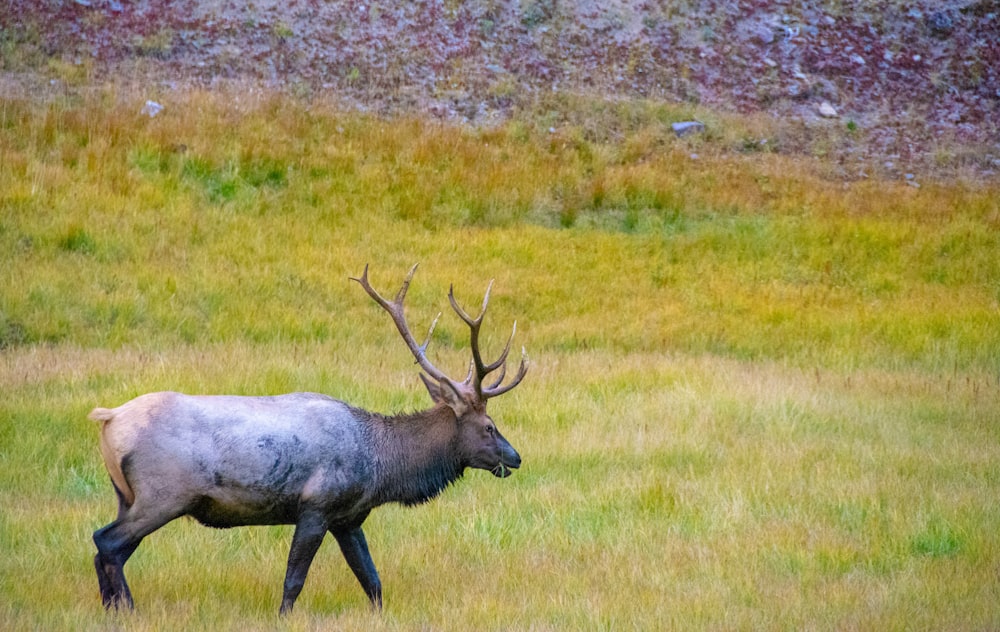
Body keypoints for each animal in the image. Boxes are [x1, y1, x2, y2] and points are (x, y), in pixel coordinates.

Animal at [87, 264, 528, 616]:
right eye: (489, 426)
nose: (516, 457)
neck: (380, 466)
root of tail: (109, 419)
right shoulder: (317, 505)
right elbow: (294, 579)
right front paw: (283, 617)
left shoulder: (349, 517)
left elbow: (372, 579)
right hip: (163, 495)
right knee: (106, 542)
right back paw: (127, 610)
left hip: (127, 495)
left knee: (106, 549)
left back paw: (112, 610)